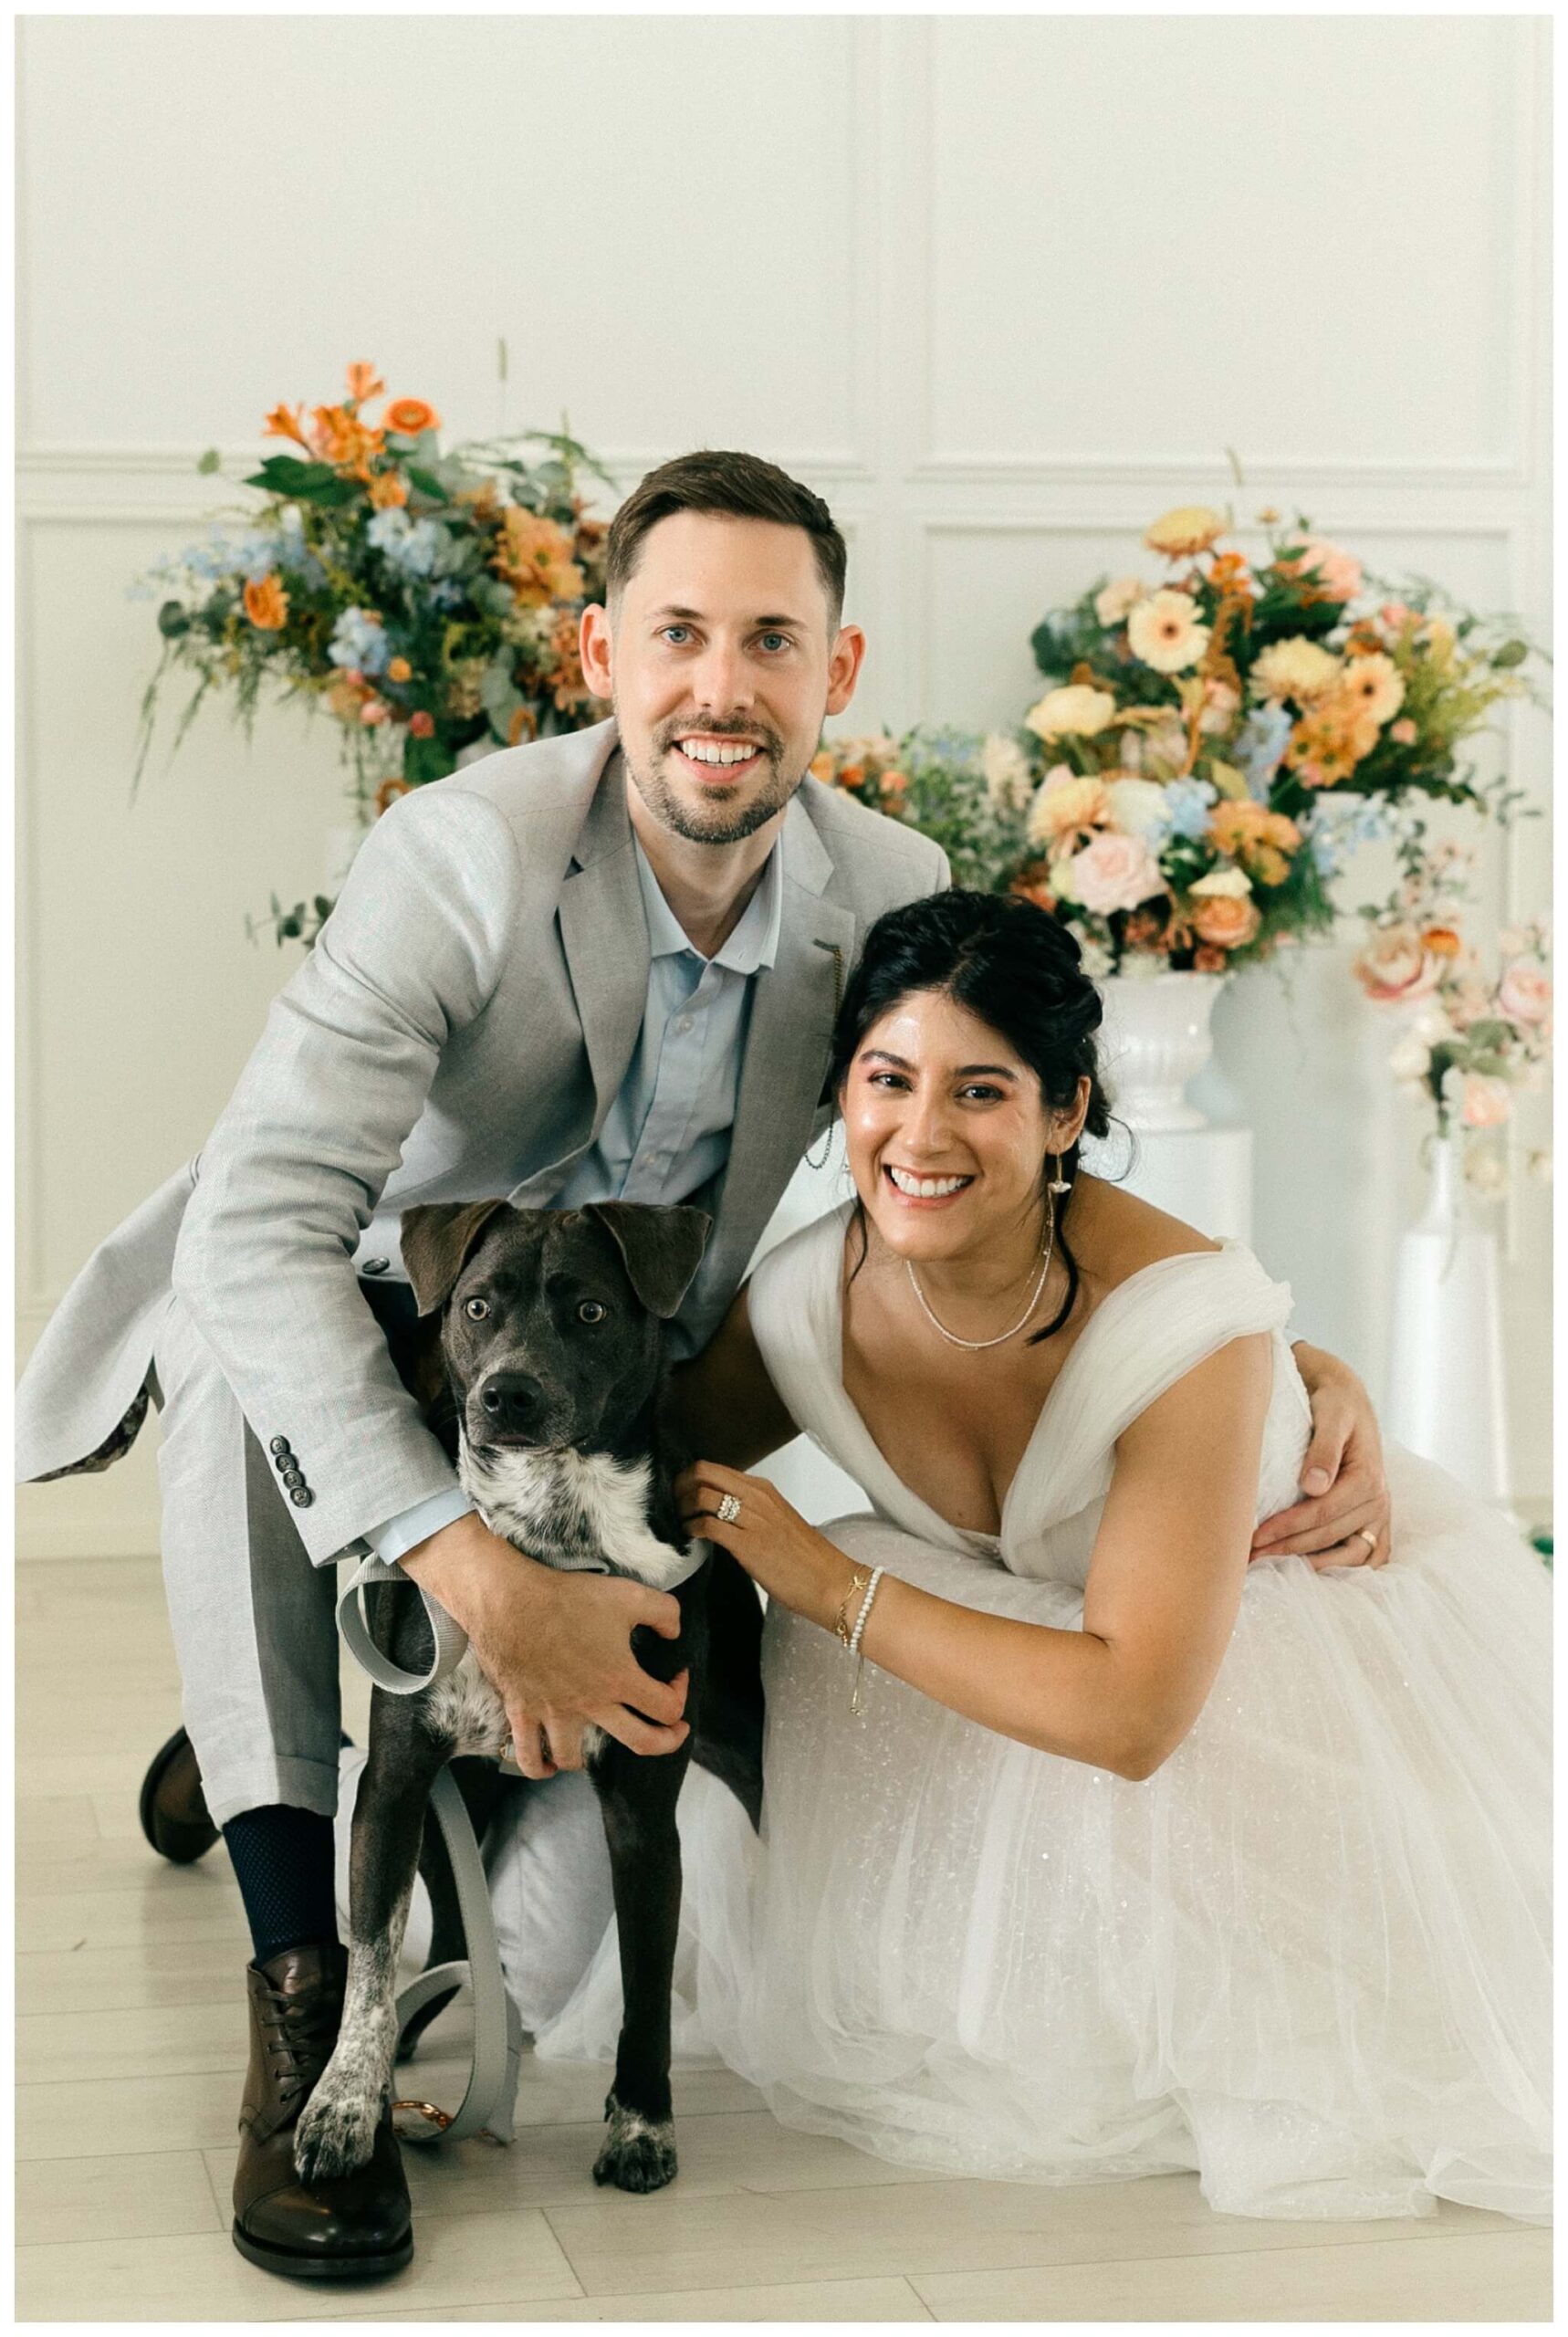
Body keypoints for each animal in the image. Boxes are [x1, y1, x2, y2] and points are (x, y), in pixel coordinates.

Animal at [294, 1196, 766, 2196]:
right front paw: (345, 2103)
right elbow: (369, 1967)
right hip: (457, 1799)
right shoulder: (395, 1785)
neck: (549, 1537)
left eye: (589, 1311)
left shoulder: (640, 1808)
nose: (504, 1394)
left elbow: (644, 1984)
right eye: (477, 1307)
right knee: (442, 1932)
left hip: (738, 1747)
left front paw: (641, 2126)